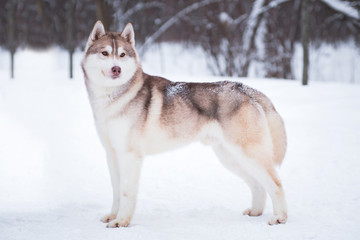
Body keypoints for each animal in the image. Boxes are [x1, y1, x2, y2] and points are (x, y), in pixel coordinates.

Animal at [81, 21, 286, 229]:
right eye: (105, 53)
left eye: (122, 55)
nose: (116, 69)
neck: (112, 98)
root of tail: (246, 89)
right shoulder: (112, 154)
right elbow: (116, 191)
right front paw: (113, 216)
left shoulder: (130, 156)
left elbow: (126, 192)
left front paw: (122, 221)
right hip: (231, 158)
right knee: (258, 184)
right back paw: (256, 211)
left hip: (248, 154)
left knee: (276, 184)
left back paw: (280, 217)